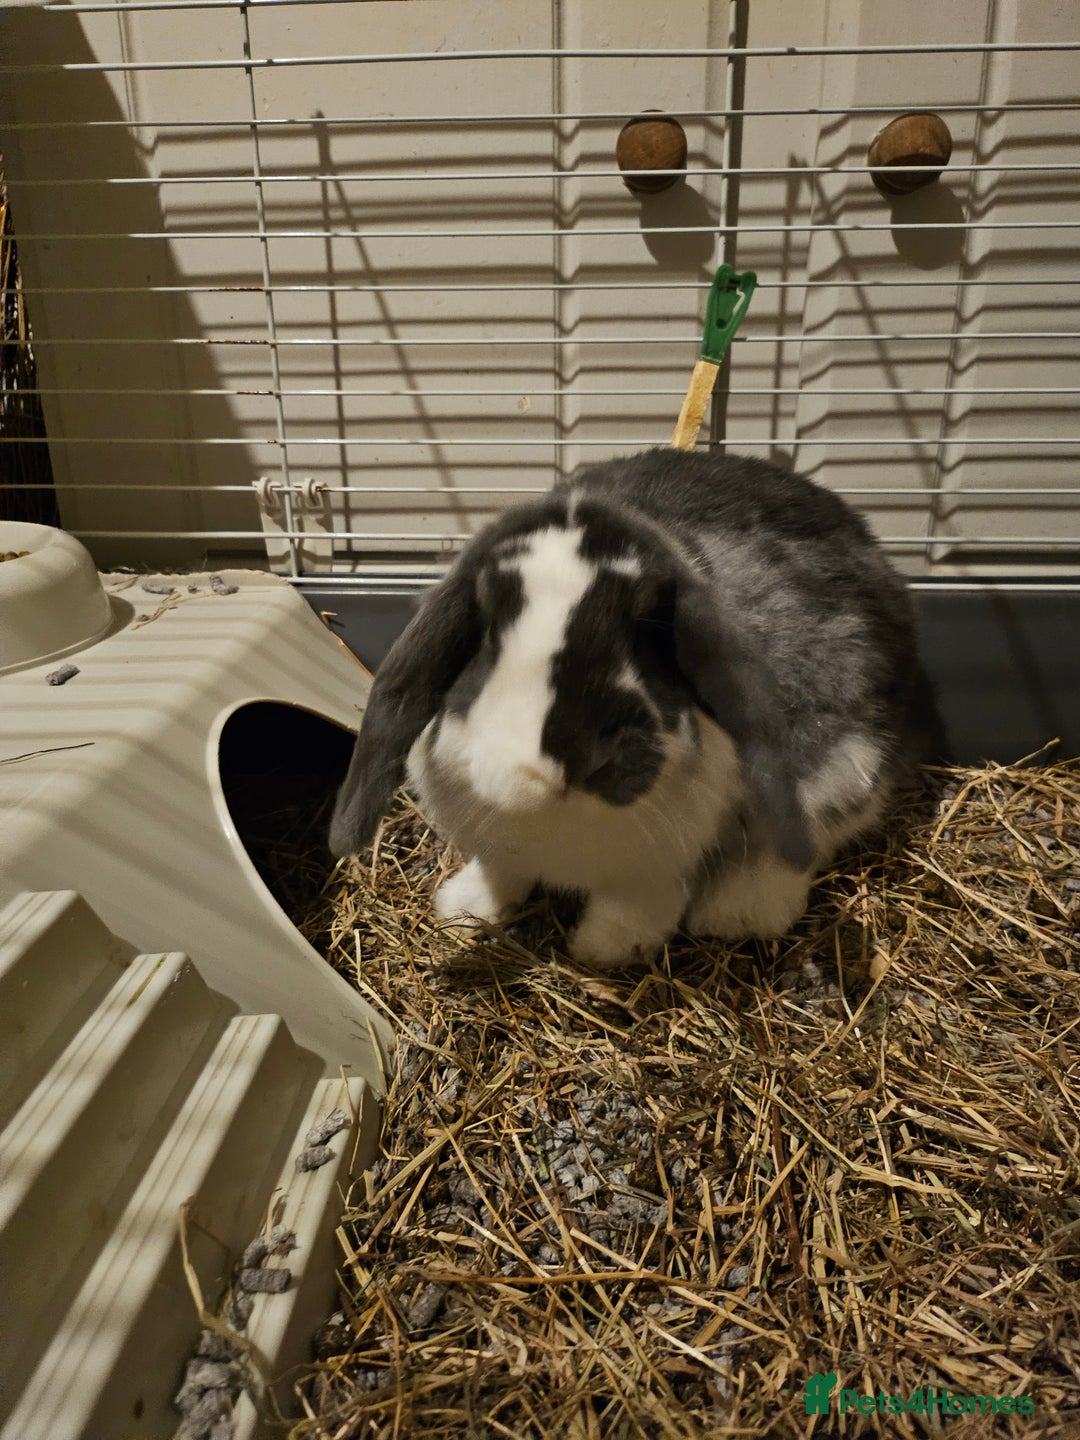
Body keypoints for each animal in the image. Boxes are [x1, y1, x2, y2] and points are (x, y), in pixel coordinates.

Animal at [329, 447, 942, 969]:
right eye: (488, 632)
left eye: (646, 630)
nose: (554, 765)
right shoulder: (502, 848)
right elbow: (502, 874)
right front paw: (463, 911)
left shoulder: (654, 869)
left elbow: (637, 905)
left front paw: (603, 951)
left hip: (846, 766)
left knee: (803, 840)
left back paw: (735, 913)